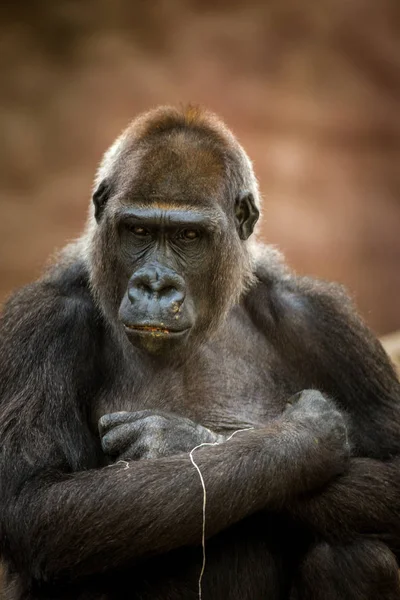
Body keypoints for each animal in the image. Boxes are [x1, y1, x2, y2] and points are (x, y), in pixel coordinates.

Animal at [0, 105, 400, 596]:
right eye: (137, 230)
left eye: (188, 236)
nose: (155, 285)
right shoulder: (43, 323)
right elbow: (38, 501)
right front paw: (303, 438)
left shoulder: (324, 320)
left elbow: (394, 473)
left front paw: (181, 438)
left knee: (354, 557)